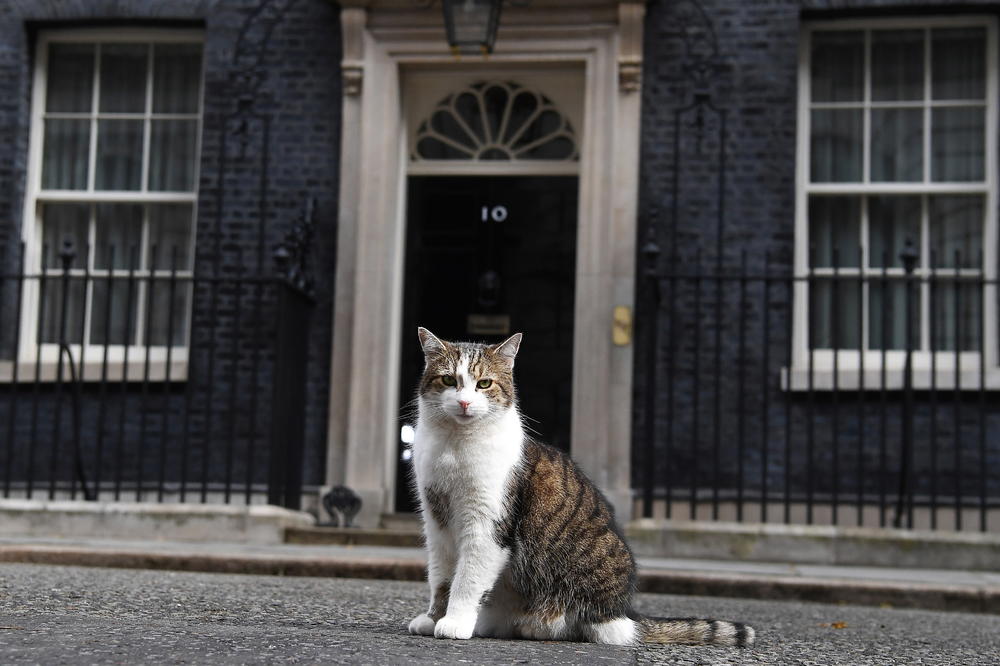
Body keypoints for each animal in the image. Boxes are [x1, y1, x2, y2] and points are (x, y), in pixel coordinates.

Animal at [402, 330, 752, 644]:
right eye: (449, 381)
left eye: (484, 383)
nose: (463, 402)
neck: (455, 446)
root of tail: (624, 614)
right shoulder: (437, 521)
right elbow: (441, 577)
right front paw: (434, 618)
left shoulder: (487, 524)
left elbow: (467, 579)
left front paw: (455, 622)